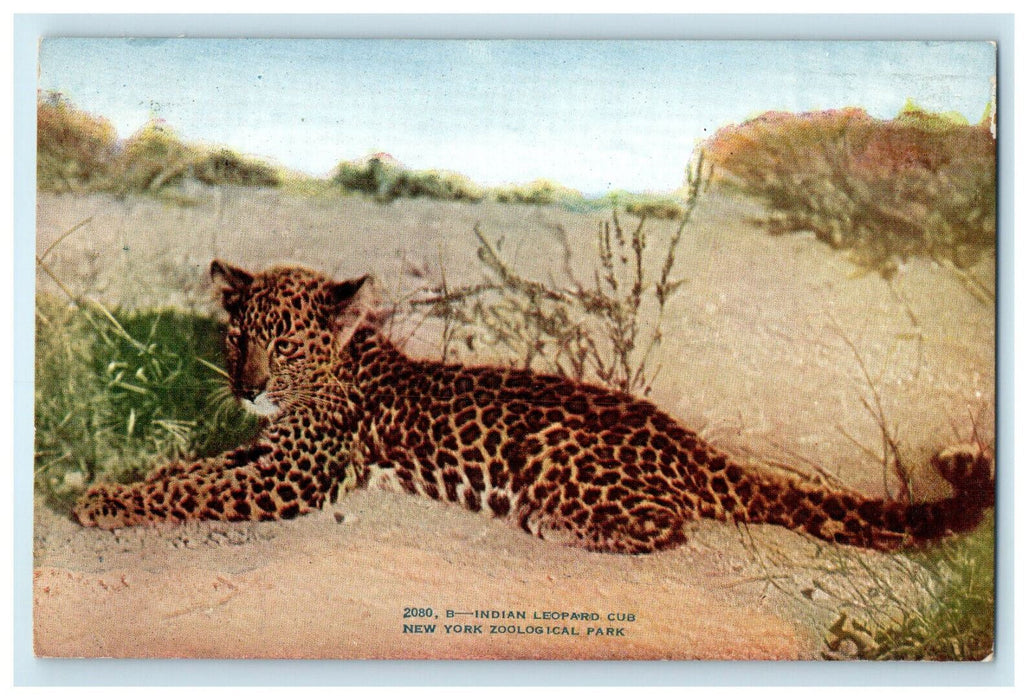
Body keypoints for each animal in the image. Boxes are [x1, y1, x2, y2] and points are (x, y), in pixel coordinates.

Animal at [73, 260, 995, 554]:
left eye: (288, 344)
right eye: (238, 338)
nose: (249, 386)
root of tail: (685, 439)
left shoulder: (292, 477)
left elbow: (193, 488)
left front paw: (104, 505)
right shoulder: (263, 456)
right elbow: (186, 469)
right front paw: (110, 485)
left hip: (562, 456)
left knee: (667, 525)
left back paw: (558, 524)